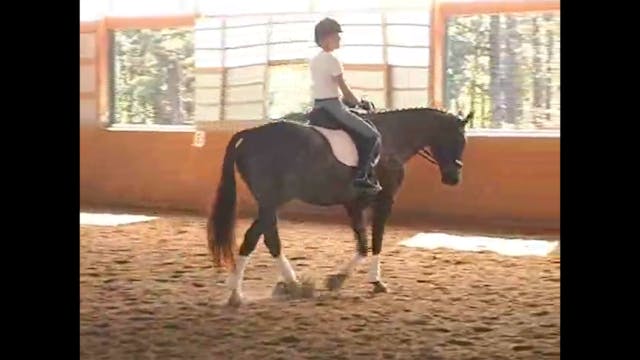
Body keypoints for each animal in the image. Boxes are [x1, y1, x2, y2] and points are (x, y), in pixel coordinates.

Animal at [208, 104, 472, 306]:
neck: (393, 138)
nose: (453, 178)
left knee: (262, 238)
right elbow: (376, 241)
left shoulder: (354, 204)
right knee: (259, 238)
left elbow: (363, 244)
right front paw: (374, 281)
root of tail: (249, 134)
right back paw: (254, 290)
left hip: (269, 203)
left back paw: (274, 287)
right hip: (272, 200)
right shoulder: (384, 200)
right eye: (459, 139)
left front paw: (338, 279)